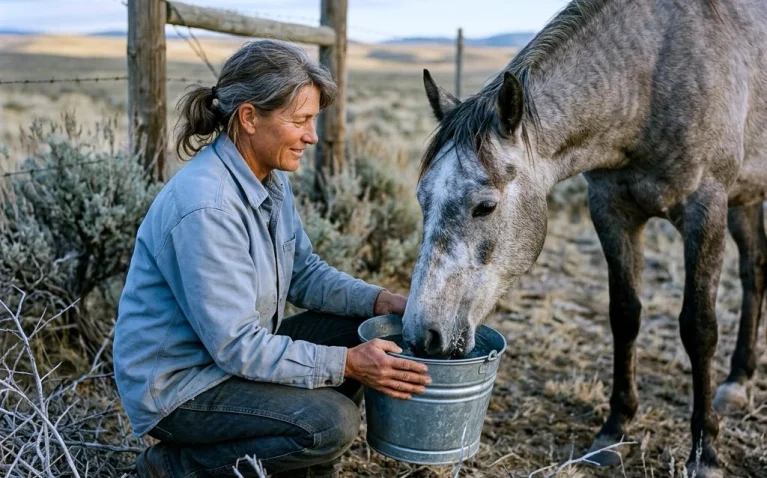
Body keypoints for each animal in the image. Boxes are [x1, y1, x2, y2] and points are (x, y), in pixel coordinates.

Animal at [401, 1, 767, 476]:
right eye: (422, 198)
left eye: (485, 206)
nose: (421, 336)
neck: (650, 73)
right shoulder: (610, 210)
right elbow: (624, 315)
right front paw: (613, 431)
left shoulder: (705, 209)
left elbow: (699, 327)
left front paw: (705, 452)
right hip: (745, 197)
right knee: (755, 271)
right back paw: (738, 379)